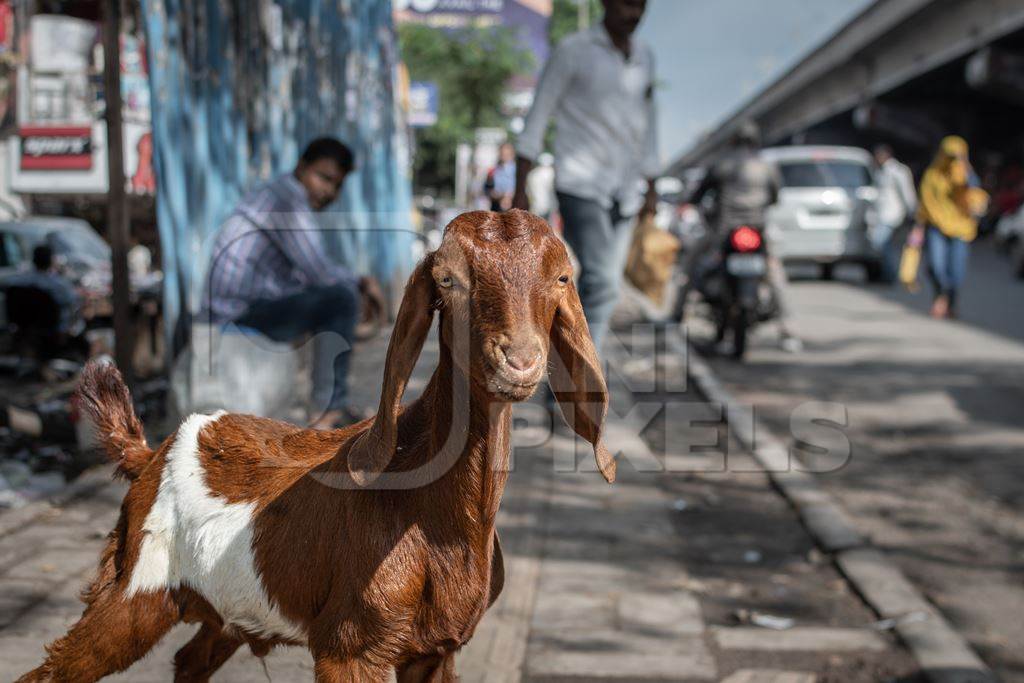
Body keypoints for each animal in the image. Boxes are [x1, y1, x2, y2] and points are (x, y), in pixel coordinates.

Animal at [18, 210, 614, 679]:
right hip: (134, 589)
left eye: (561, 277)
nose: (518, 361)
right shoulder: (350, 649)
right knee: (53, 671)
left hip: (222, 608)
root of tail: (149, 454)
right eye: (448, 280)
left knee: (190, 660)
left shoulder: (436, 652)